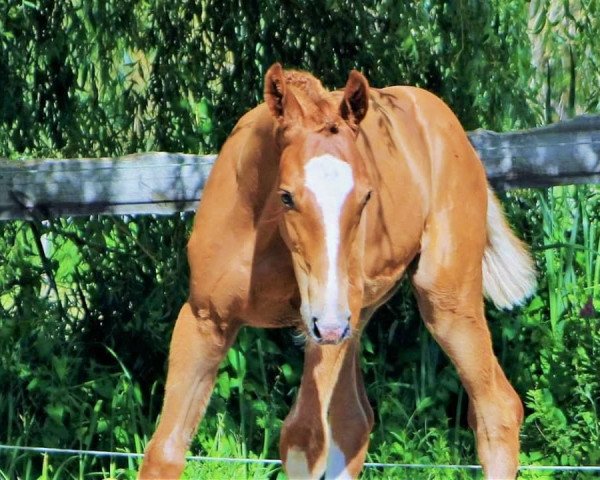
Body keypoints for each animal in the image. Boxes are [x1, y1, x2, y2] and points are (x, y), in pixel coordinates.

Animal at [139, 63, 536, 480]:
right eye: (287, 196)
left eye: (366, 196)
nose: (329, 323)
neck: (259, 231)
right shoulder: (205, 319)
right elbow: (165, 448)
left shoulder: (320, 326)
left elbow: (303, 438)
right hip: (358, 317)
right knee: (354, 423)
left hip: (440, 301)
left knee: (497, 408)